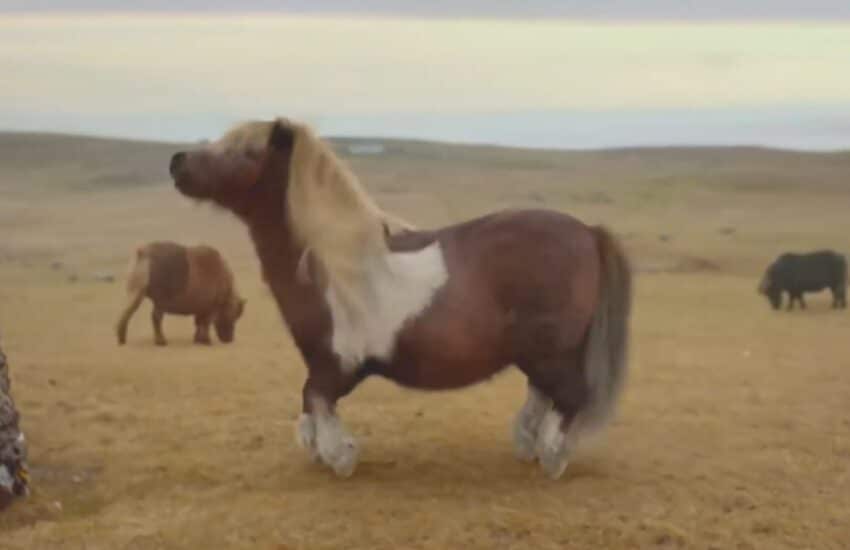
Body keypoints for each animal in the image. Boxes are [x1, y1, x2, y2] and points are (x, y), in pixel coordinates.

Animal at [116, 241, 246, 346]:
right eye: (234, 316)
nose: (230, 340)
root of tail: (143, 253)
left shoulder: (201, 309)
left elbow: (199, 323)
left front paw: (198, 339)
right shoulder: (211, 308)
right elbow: (205, 323)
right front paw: (206, 340)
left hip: (134, 293)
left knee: (127, 311)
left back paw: (122, 338)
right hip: (159, 301)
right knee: (156, 318)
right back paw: (160, 341)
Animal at [169, 118, 632, 479]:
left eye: (245, 150)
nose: (176, 161)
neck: (334, 260)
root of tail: (587, 231)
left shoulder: (338, 363)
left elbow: (315, 399)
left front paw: (340, 457)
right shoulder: (323, 362)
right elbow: (307, 405)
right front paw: (320, 452)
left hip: (552, 352)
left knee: (569, 397)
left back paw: (552, 457)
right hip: (537, 353)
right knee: (544, 394)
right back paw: (529, 447)